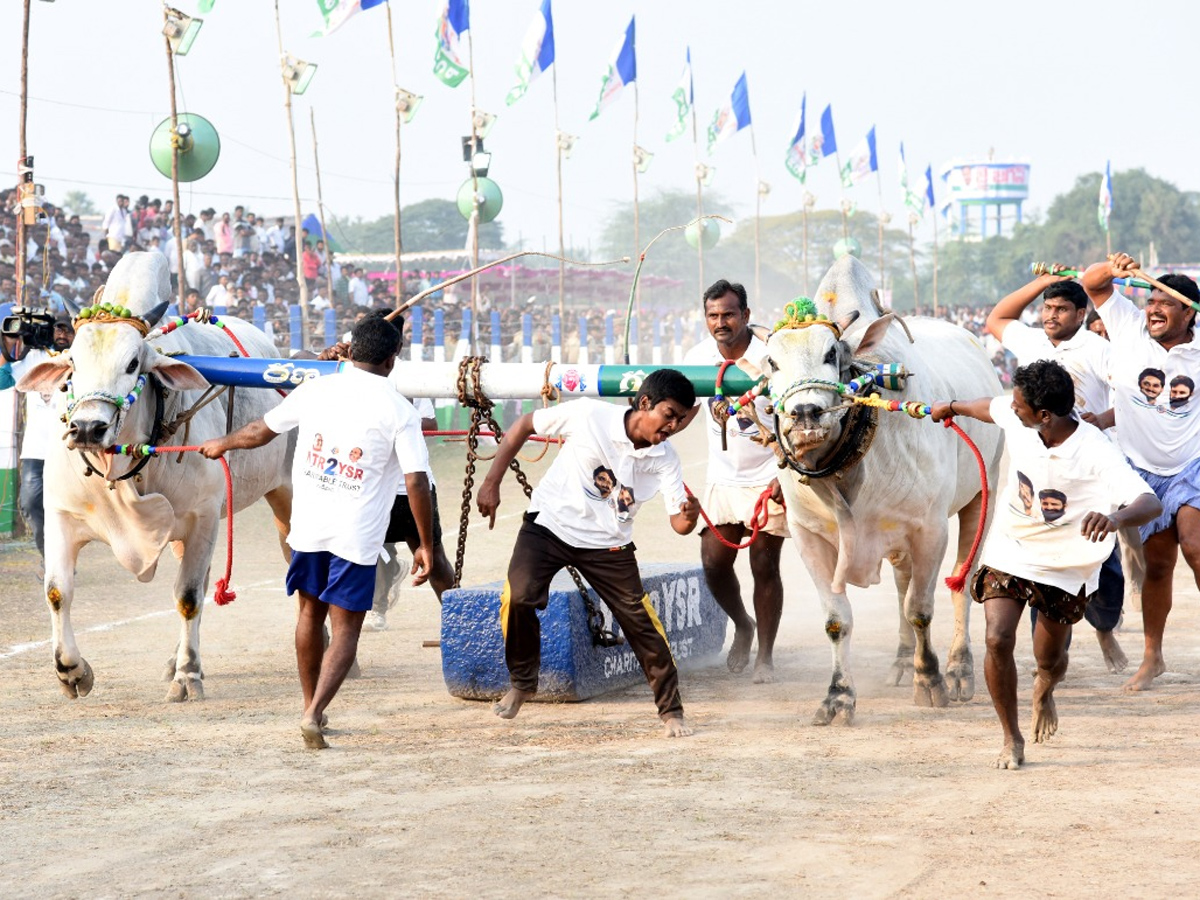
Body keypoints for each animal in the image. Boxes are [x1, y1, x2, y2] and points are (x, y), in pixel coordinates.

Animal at [18, 254, 292, 705]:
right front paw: (71, 671)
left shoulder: (202, 519)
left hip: (286, 494)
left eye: (133, 364)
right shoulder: (59, 514)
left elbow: (188, 597)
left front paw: (188, 675)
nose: (87, 427)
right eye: (72, 363)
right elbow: (57, 591)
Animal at [758, 255, 1003, 724]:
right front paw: (838, 697)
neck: (844, 472)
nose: (805, 414)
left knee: (960, 584)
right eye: (772, 362)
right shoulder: (808, 536)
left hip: (984, 494)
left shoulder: (930, 529)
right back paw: (902, 661)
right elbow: (837, 620)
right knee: (902, 583)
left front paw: (931, 681)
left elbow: (921, 609)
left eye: (831, 354)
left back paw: (958, 669)